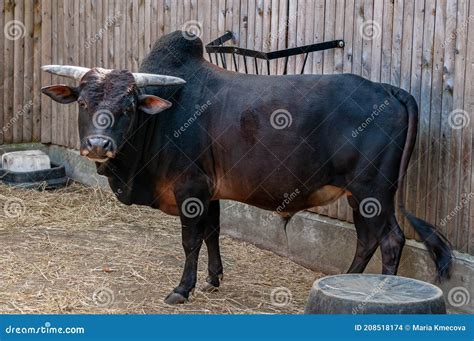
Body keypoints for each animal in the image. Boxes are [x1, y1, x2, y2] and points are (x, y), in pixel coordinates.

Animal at [41, 30, 452, 304]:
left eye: (127, 107)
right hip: (360, 194)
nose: (98, 145)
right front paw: (213, 278)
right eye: (83, 104)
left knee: (390, 240)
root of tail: (389, 89)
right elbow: (213, 233)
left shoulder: (189, 188)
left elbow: (191, 240)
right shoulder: (209, 192)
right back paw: (349, 281)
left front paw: (182, 289)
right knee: (368, 240)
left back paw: (376, 291)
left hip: (374, 191)